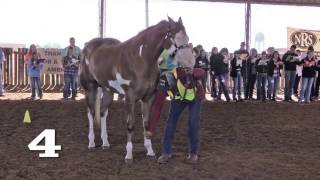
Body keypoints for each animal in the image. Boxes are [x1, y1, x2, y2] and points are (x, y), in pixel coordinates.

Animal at [80, 17, 195, 163]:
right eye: (176, 38)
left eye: (187, 38)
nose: (191, 62)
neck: (140, 59)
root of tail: (87, 47)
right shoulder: (130, 98)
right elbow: (131, 125)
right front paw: (129, 155)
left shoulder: (148, 98)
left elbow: (146, 123)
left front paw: (150, 151)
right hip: (90, 88)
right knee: (91, 113)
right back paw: (91, 143)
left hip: (108, 91)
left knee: (102, 113)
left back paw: (105, 143)